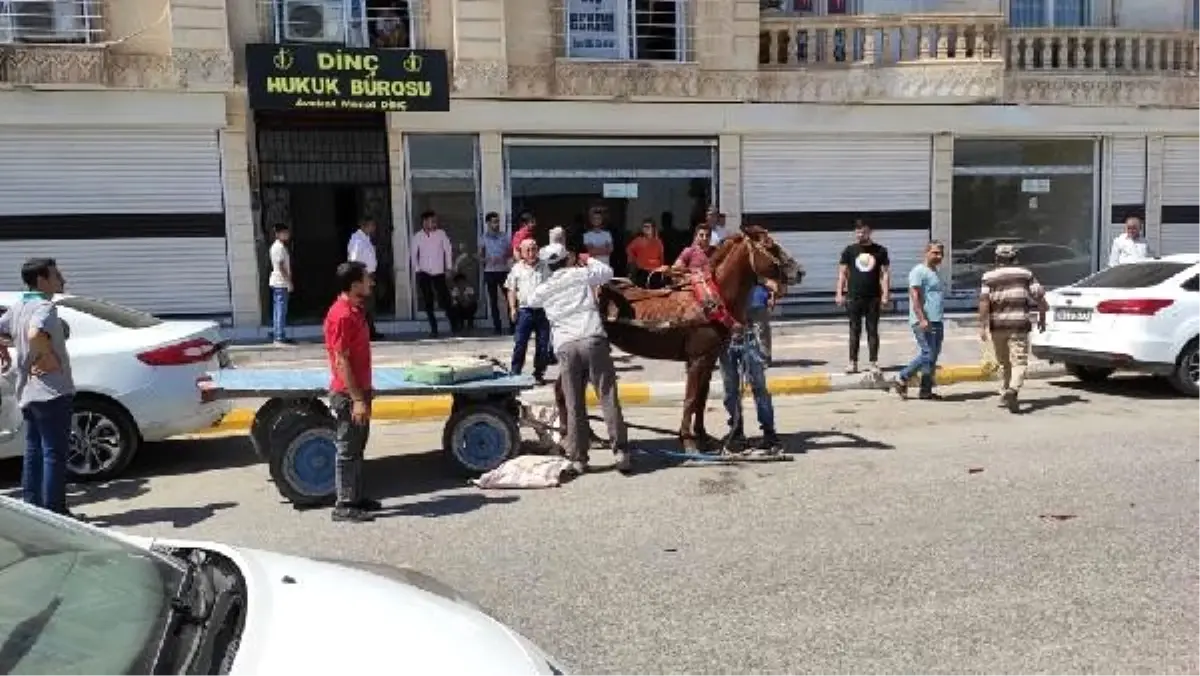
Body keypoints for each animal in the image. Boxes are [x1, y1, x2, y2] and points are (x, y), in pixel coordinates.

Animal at [595, 224, 801, 451]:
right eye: (770, 246)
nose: (800, 271)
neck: (711, 301)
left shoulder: (709, 359)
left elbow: (702, 398)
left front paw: (702, 436)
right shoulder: (696, 360)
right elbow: (691, 398)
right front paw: (687, 441)